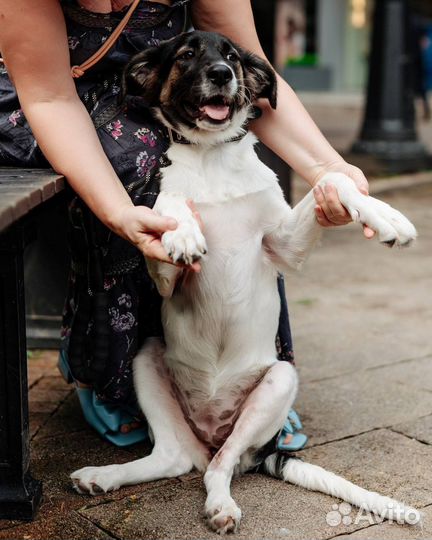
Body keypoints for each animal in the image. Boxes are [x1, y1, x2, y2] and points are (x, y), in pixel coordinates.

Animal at [72, 31, 420, 532]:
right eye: (186, 55)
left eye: (232, 56)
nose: (222, 74)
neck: (212, 155)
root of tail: (210, 434)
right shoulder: (164, 276)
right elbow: (168, 205)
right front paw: (183, 230)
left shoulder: (282, 246)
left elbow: (333, 181)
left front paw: (386, 216)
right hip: (145, 356)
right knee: (176, 458)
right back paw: (103, 476)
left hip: (279, 379)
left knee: (220, 468)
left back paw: (219, 503)